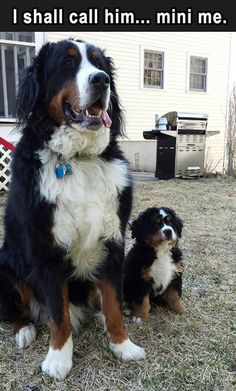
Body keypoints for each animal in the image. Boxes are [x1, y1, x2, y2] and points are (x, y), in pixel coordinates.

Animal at [0, 39, 146, 380]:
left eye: (100, 64)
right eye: (67, 64)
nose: (101, 81)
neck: (78, 159)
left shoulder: (112, 243)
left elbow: (113, 303)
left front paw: (122, 345)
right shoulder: (47, 250)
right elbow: (58, 312)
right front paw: (58, 357)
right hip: (7, 264)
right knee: (16, 311)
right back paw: (24, 331)